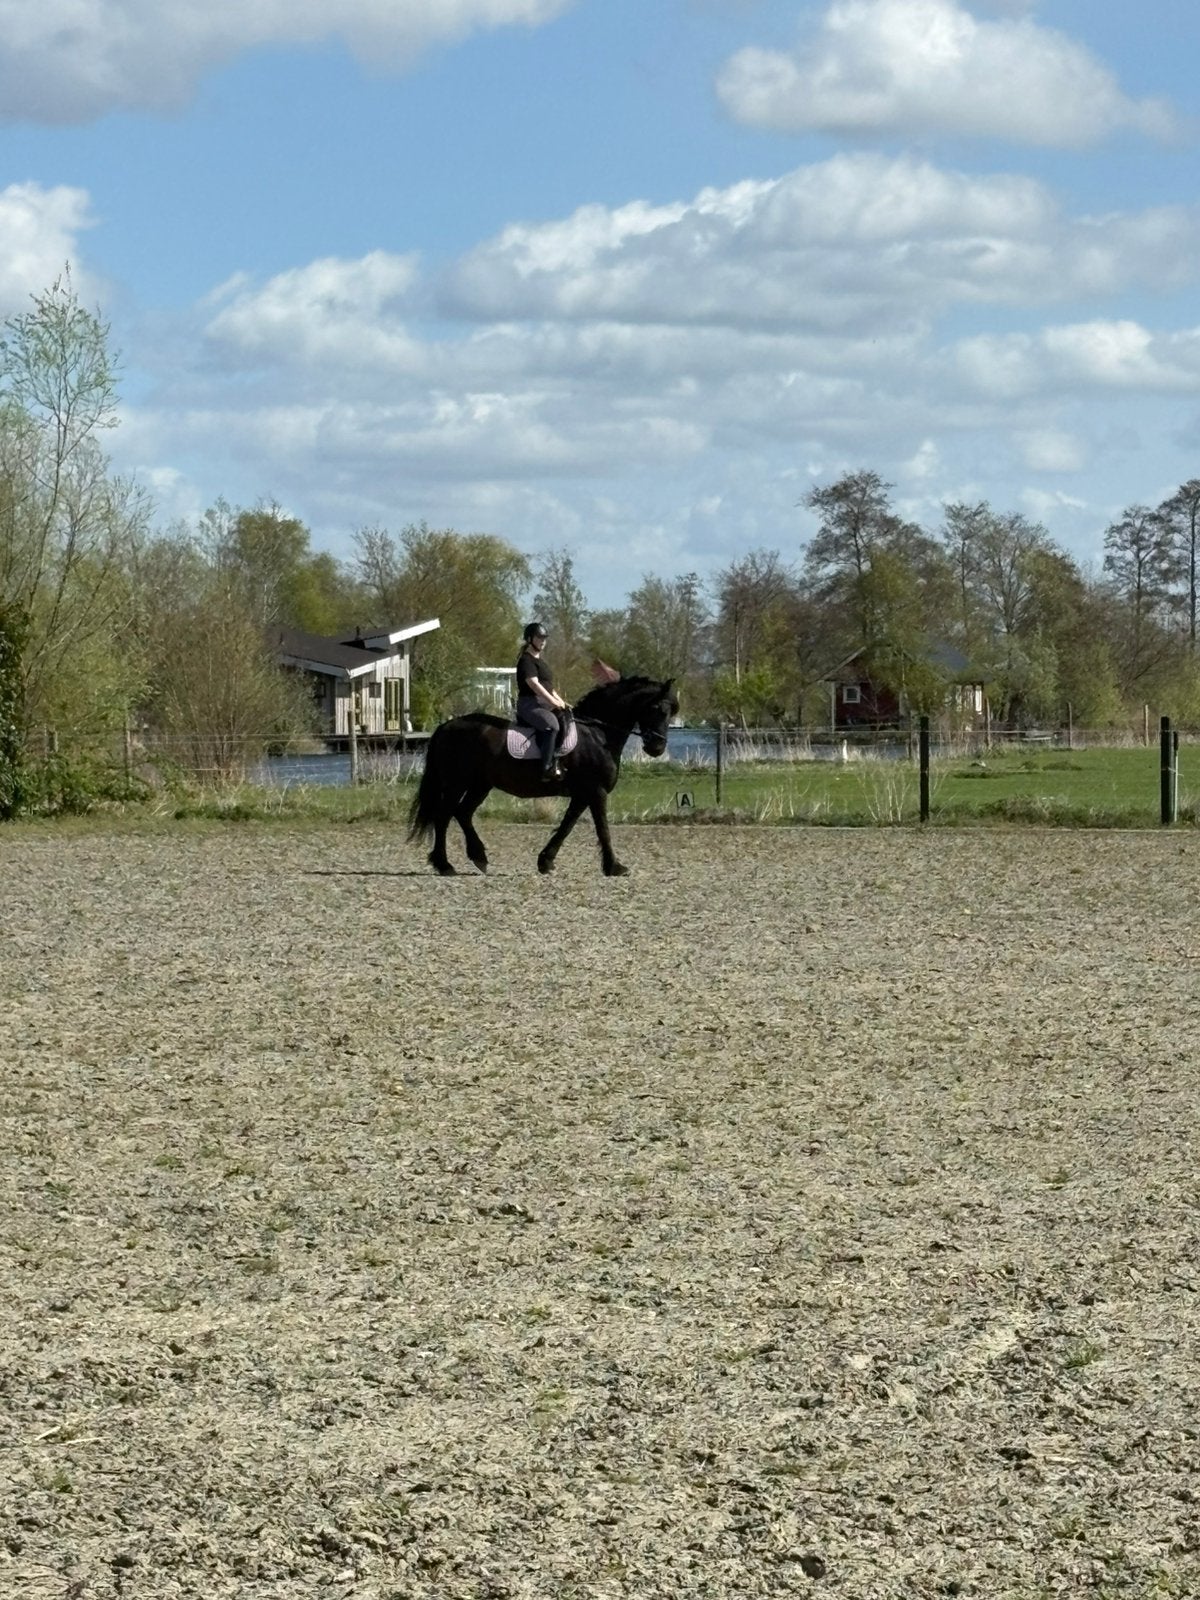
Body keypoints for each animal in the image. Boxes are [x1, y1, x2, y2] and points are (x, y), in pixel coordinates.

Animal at [408, 675, 678, 876]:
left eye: (671, 712)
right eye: (656, 708)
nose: (657, 748)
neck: (598, 734)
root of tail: (446, 726)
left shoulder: (583, 795)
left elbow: (567, 826)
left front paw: (546, 861)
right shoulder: (596, 791)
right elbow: (602, 828)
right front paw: (614, 867)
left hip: (480, 785)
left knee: (462, 813)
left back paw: (478, 857)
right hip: (457, 783)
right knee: (444, 816)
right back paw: (445, 865)